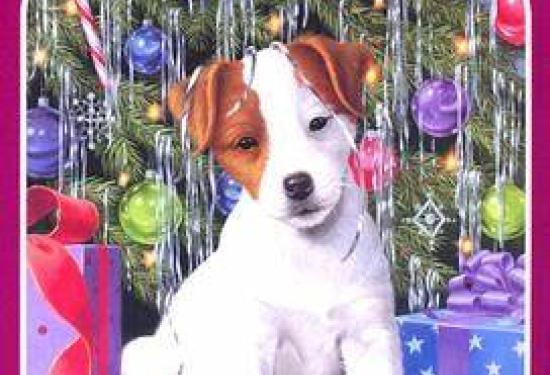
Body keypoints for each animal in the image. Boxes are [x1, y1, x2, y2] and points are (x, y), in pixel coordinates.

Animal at [123, 35, 404, 375]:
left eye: (318, 123)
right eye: (245, 143)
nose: (298, 184)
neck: (309, 249)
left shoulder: (369, 334)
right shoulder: (250, 342)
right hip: (145, 353)